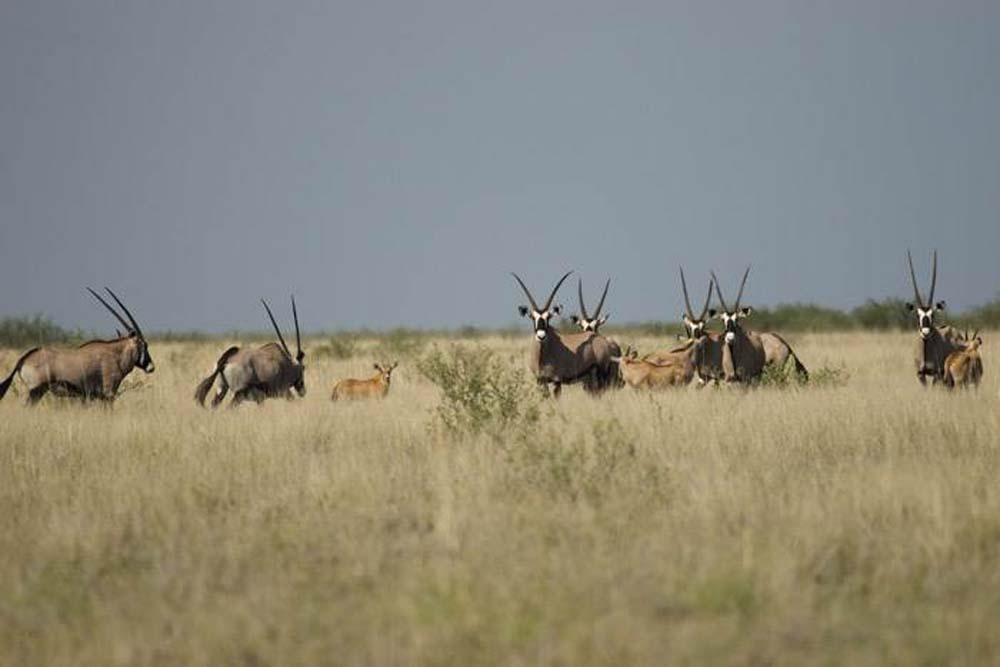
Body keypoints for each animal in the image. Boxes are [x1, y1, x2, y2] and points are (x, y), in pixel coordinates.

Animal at [0, 288, 155, 408]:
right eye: (144, 344)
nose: (151, 367)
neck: (116, 354)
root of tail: (23, 360)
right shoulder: (108, 394)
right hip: (36, 391)